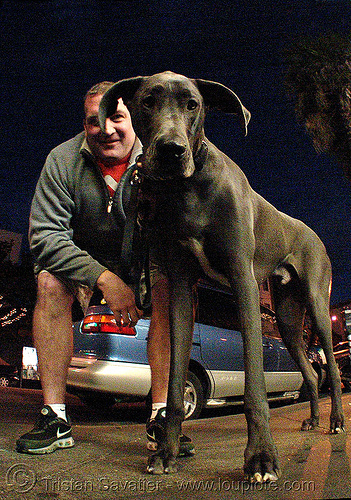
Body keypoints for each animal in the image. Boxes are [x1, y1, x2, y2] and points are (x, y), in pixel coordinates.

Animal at [98, 70, 344, 480]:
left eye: (192, 104)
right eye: (147, 101)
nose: (171, 150)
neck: (189, 187)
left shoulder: (243, 280)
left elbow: (255, 388)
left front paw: (261, 458)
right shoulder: (182, 289)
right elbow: (176, 384)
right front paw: (166, 451)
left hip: (317, 306)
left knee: (333, 370)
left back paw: (336, 420)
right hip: (288, 321)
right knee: (311, 374)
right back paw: (312, 419)